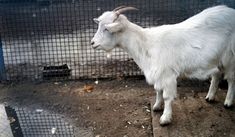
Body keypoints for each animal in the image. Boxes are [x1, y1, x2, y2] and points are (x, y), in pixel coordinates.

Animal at [91, 5, 235, 125]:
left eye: (106, 28)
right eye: (99, 26)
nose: (92, 43)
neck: (145, 43)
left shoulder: (167, 75)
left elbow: (166, 96)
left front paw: (165, 118)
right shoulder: (158, 73)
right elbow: (158, 90)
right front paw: (156, 106)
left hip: (230, 57)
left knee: (231, 79)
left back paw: (228, 102)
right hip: (217, 58)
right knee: (216, 75)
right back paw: (210, 97)